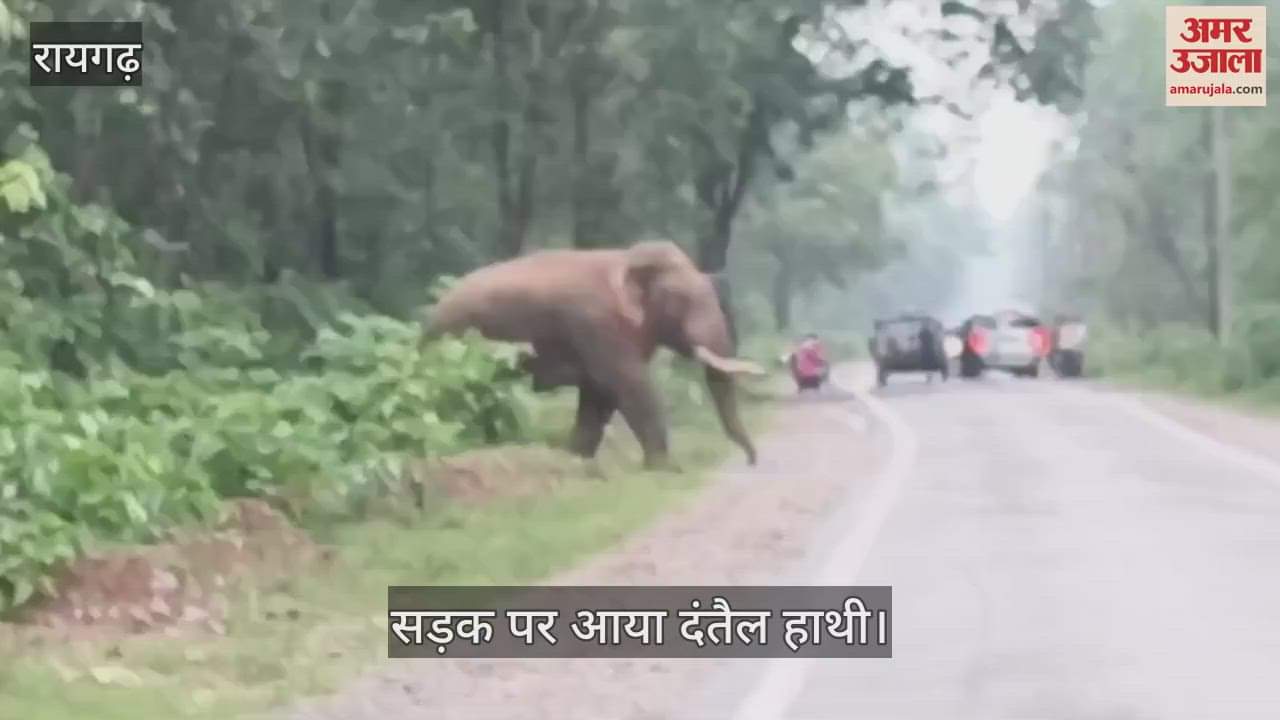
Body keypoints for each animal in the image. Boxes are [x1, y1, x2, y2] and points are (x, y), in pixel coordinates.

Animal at [420, 239, 764, 469]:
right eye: (683, 301)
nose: (750, 461)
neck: (626, 257)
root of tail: (429, 317)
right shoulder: (598, 325)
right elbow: (630, 386)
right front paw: (665, 470)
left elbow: (599, 396)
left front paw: (576, 462)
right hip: (461, 348)